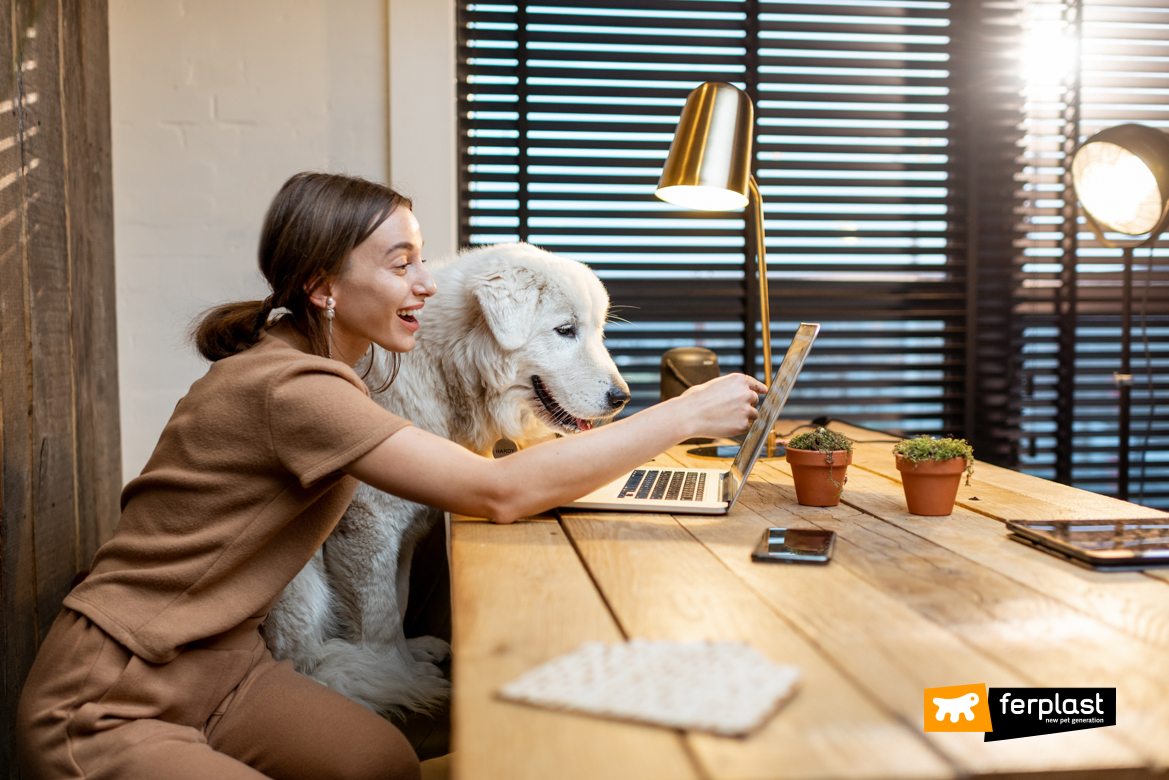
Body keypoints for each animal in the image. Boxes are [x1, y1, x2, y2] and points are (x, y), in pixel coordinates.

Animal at [263, 240, 631, 715]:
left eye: (598, 331)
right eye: (566, 330)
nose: (622, 398)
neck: (445, 367)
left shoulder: (404, 534)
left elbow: (399, 599)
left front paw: (408, 658)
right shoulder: (367, 525)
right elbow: (379, 618)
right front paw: (396, 674)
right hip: (300, 585)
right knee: (308, 664)